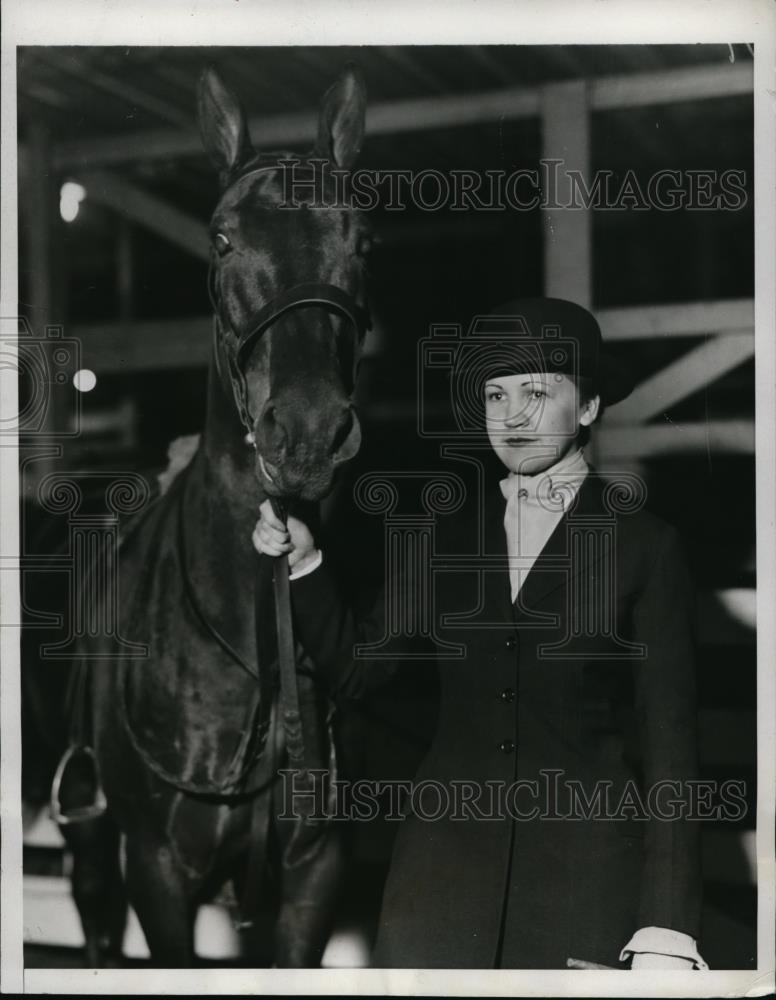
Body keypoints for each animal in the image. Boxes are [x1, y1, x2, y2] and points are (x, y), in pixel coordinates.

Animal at [22, 62, 372, 968]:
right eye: (220, 238)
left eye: (362, 241)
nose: (307, 432)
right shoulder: (157, 868)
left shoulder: (314, 874)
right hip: (92, 838)